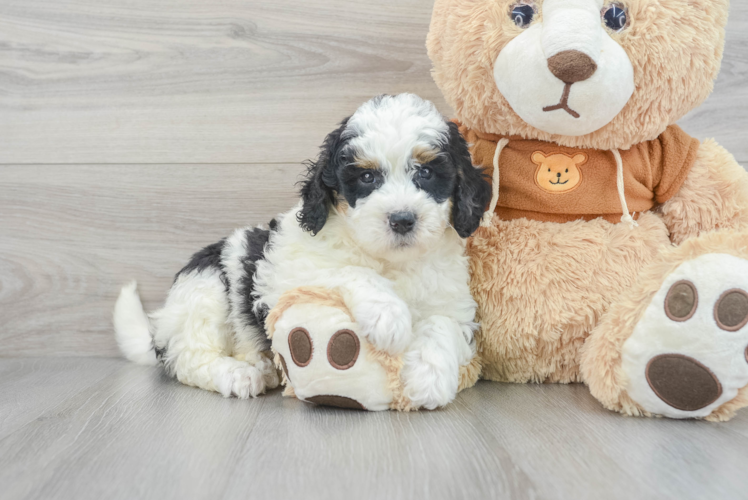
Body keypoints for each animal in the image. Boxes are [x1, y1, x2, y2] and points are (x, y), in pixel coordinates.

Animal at [114, 94, 490, 410]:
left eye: (426, 172)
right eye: (367, 177)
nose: (402, 219)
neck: (389, 261)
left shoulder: (452, 299)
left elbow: (444, 324)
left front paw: (429, 378)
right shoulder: (289, 277)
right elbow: (347, 270)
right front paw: (388, 314)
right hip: (205, 288)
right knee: (188, 356)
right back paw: (238, 373)